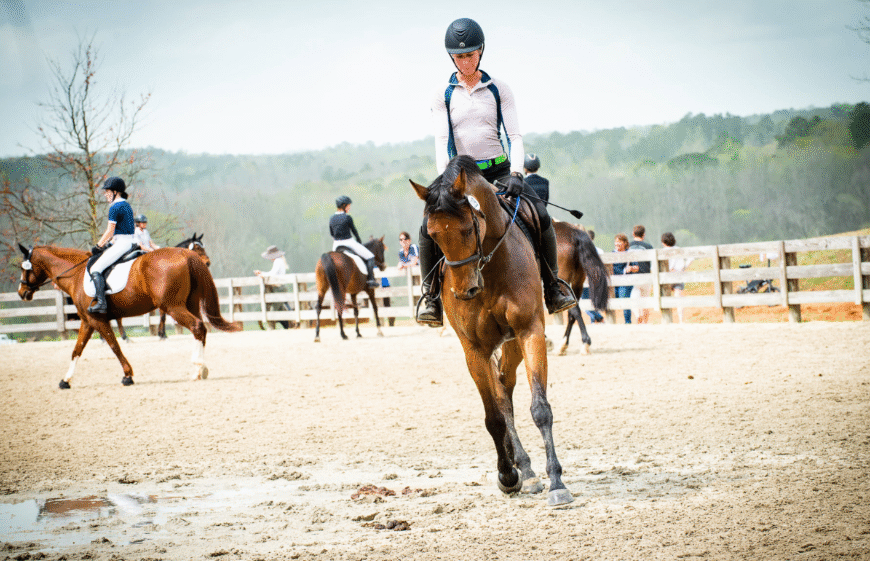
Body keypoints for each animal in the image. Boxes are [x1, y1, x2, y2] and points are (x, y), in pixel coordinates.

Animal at [17, 243, 240, 388]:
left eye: (23, 267)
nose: (21, 292)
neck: (77, 274)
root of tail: (186, 255)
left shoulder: (97, 319)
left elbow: (114, 346)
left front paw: (128, 376)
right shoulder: (87, 322)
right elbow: (76, 349)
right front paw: (65, 380)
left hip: (173, 306)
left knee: (197, 326)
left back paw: (198, 368)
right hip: (189, 304)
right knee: (199, 329)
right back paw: (199, 370)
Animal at [410, 155, 573, 507]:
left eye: (468, 228)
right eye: (433, 236)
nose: (465, 291)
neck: (491, 267)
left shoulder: (529, 331)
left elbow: (540, 408)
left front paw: (556, 482)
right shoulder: (474, 348)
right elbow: (493, 416)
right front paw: (507, 475)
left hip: (512, 343)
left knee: (505, 387)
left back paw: (528, 469)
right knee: (500, 397)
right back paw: (522, 469)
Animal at [554, 221, 609, 355]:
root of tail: (573, 233)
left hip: (563, 282)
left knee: (574, 311)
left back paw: (584, 343)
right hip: (577, 283)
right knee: (572, 313)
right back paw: (563, 345)